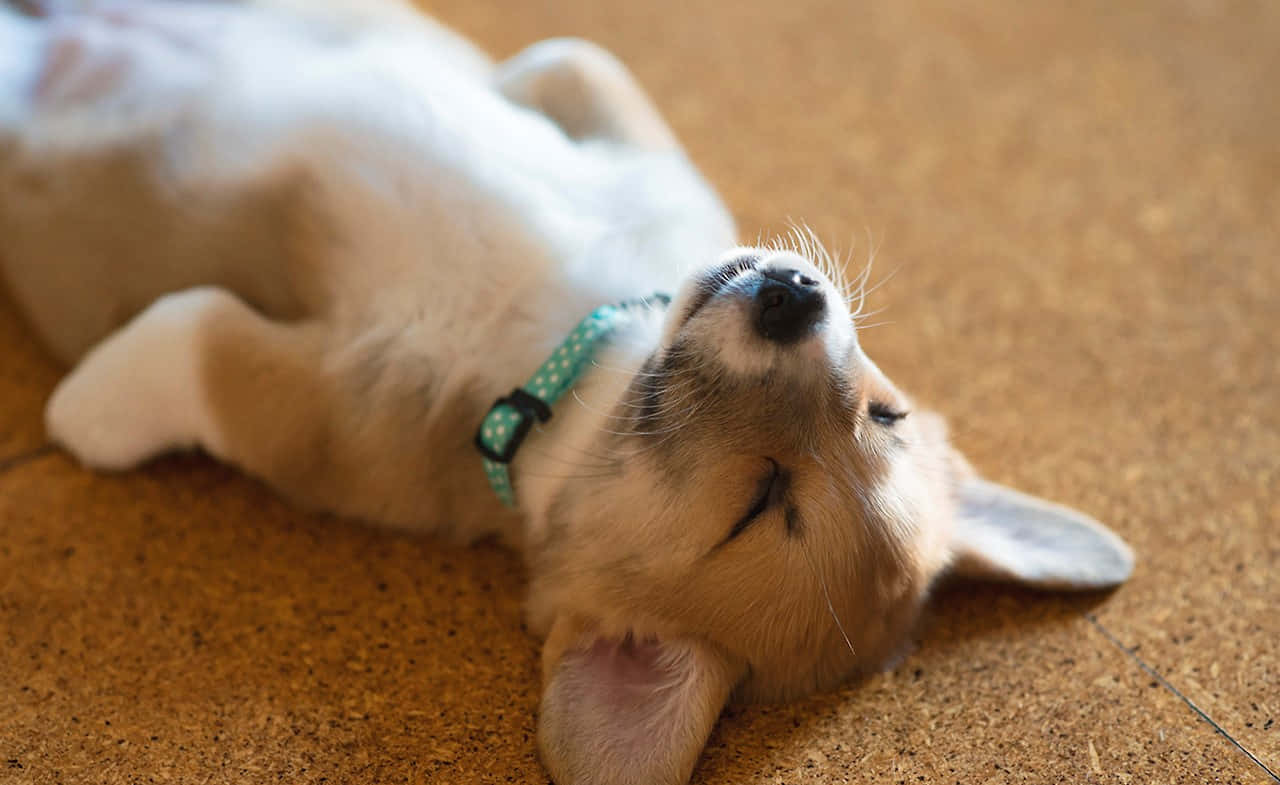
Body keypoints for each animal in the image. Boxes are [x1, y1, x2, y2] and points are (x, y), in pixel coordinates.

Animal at [0, 3, 1136, 778]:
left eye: (764, 503)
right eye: (884, 413)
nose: (791, 299)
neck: (579, 343)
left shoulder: (313, 405)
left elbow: (165, 352)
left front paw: (85, 397)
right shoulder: (597, 89)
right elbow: (566, 54)